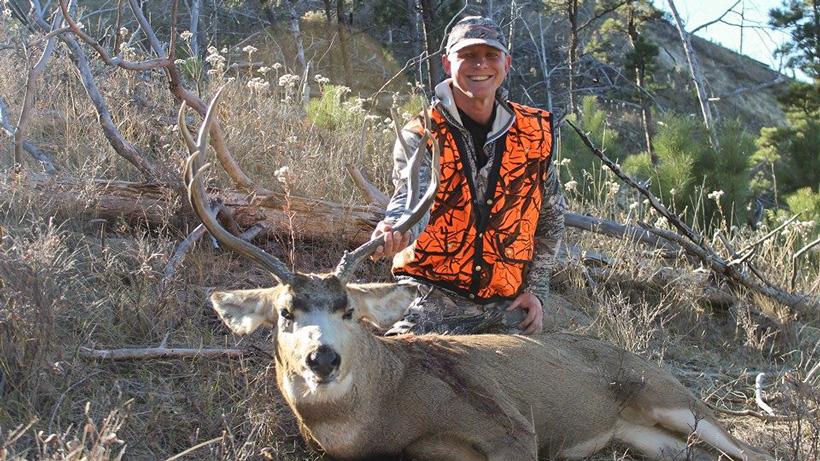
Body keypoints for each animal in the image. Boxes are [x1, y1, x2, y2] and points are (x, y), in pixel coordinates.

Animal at [179, 89, 773, 461]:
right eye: (285, 312)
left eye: (348, 310)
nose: (322, 358)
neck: (389, 409)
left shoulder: (512, 426)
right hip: (645, 437)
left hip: (672, 395)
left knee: (749, 447)